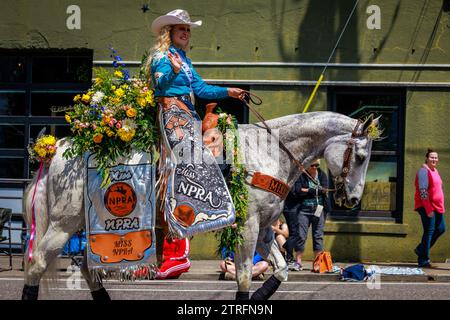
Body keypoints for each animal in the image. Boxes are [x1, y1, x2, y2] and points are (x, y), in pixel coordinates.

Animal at [21, 112, 380, 300]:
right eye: (362, 156)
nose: (351, 199)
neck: (268, 153)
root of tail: (59, 147)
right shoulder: (248, 227)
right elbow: (245, 276)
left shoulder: (265, 228)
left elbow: (280, 271)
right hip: (63, 223)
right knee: (37, 264)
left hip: (87, 225)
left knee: (86, 265)